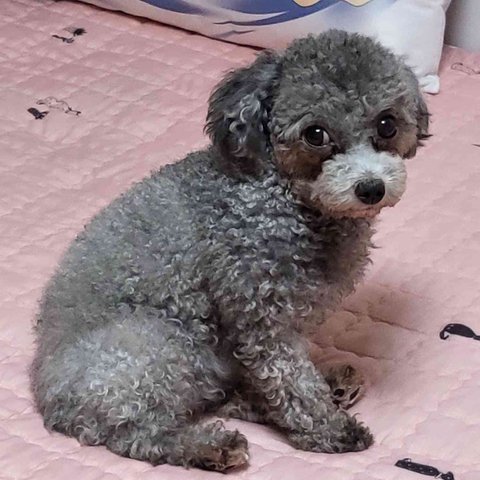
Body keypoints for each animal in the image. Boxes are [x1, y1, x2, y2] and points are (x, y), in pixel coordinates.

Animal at [30, 30, 429, 472]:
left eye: (387, 124)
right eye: (315, 134)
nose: (371, 188)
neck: (289, 199)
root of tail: (51, 400)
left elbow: (279, 376)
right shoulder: (261, 316)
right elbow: (291, 380)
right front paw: (327, 429)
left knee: (213, 398)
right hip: (159, 343)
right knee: (137, 433)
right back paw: (207, 446)